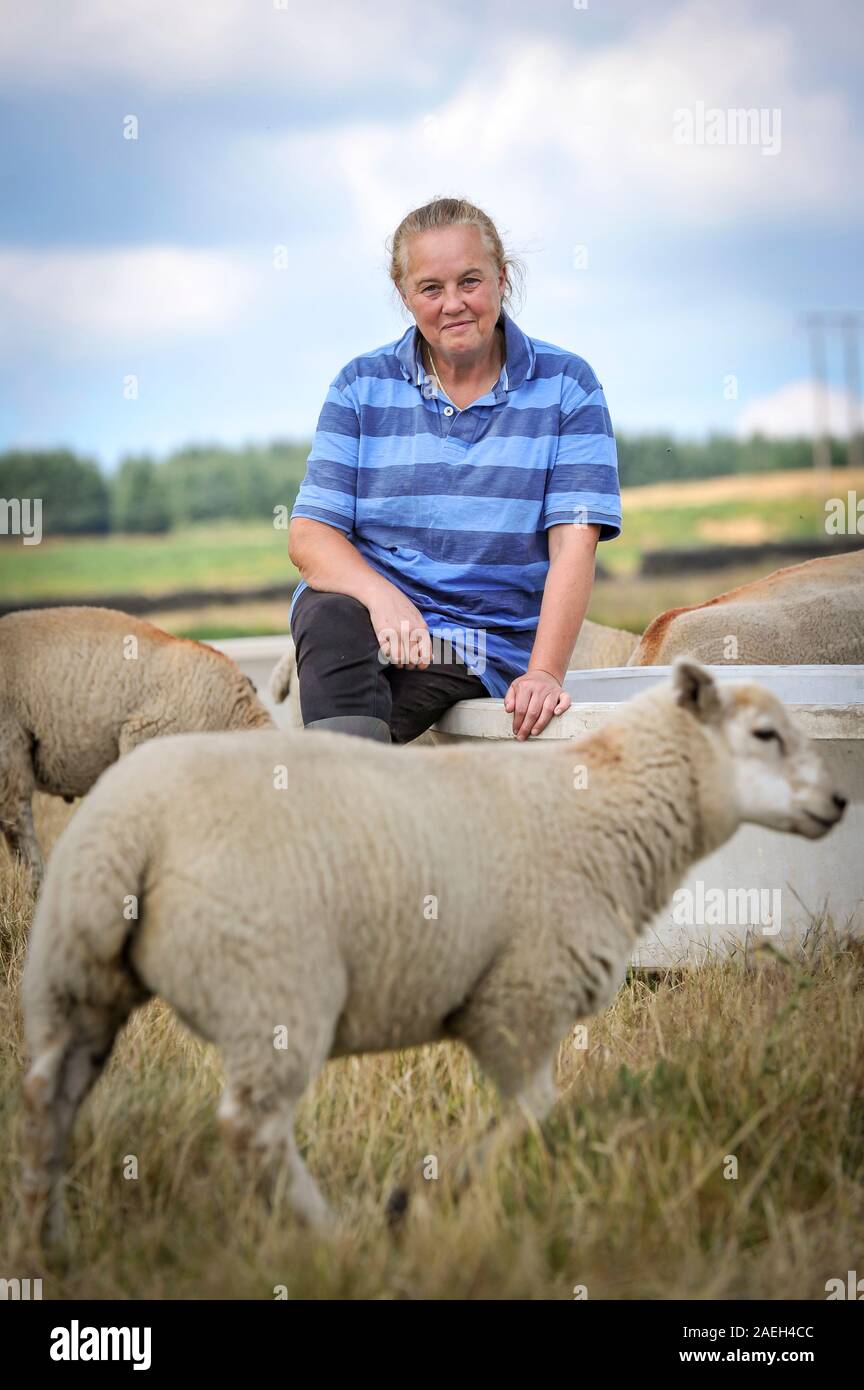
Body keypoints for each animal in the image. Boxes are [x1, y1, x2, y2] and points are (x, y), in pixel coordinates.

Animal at [18, 656, 844, 1245]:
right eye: (764, 735)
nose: (838, 801)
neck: (604, 807)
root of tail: (131, 828)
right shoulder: (519, 996)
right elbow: (534, 1110)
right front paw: (429, 1195)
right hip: (274, 984)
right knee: (252, 1129)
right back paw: (331, 1240)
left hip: (73, 974)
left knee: (49, 1097)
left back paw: (50, 1241)